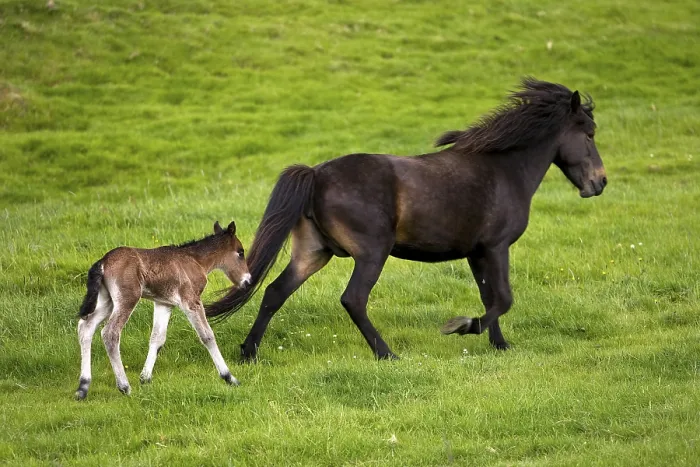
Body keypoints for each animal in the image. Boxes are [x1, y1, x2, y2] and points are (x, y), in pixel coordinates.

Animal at [75, 221, 251, 400]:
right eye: (240, 252)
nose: (248, 281)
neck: (196, 260)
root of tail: (103, 261)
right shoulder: (191, 300)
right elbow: (207, 335)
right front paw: (229, 377)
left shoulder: (163, 304)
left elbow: (157, 338)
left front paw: (145, 378)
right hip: (127, 298)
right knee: (110, 333)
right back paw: (124, 387)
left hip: (107, 301)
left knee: (86, 326)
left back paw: (83, 387)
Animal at [205, 78, 607, 361]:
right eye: (589, 133)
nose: (599, 182)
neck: (503, 170)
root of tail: (316, 175)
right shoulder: (496, 247)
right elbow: (504, 297)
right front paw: (463, 327)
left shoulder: (477, 252)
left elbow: (490, 295)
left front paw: (500, 345)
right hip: (372, 252)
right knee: (353, 299)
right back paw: (386, 353)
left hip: (313, 252)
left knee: (274, 292)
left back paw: (249, 352)